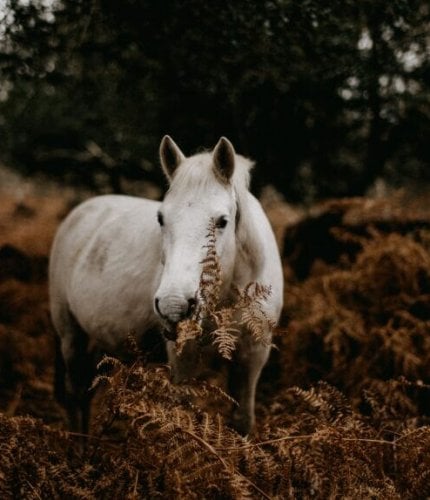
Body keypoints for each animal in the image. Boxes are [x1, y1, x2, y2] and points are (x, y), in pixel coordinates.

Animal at [48, 136, 284, 434]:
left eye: (222, 221)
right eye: (161, 218)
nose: (175, 305)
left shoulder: (252, 359)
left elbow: (242, 423)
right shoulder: (183, 363)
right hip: (71, 336)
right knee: (75, 393)